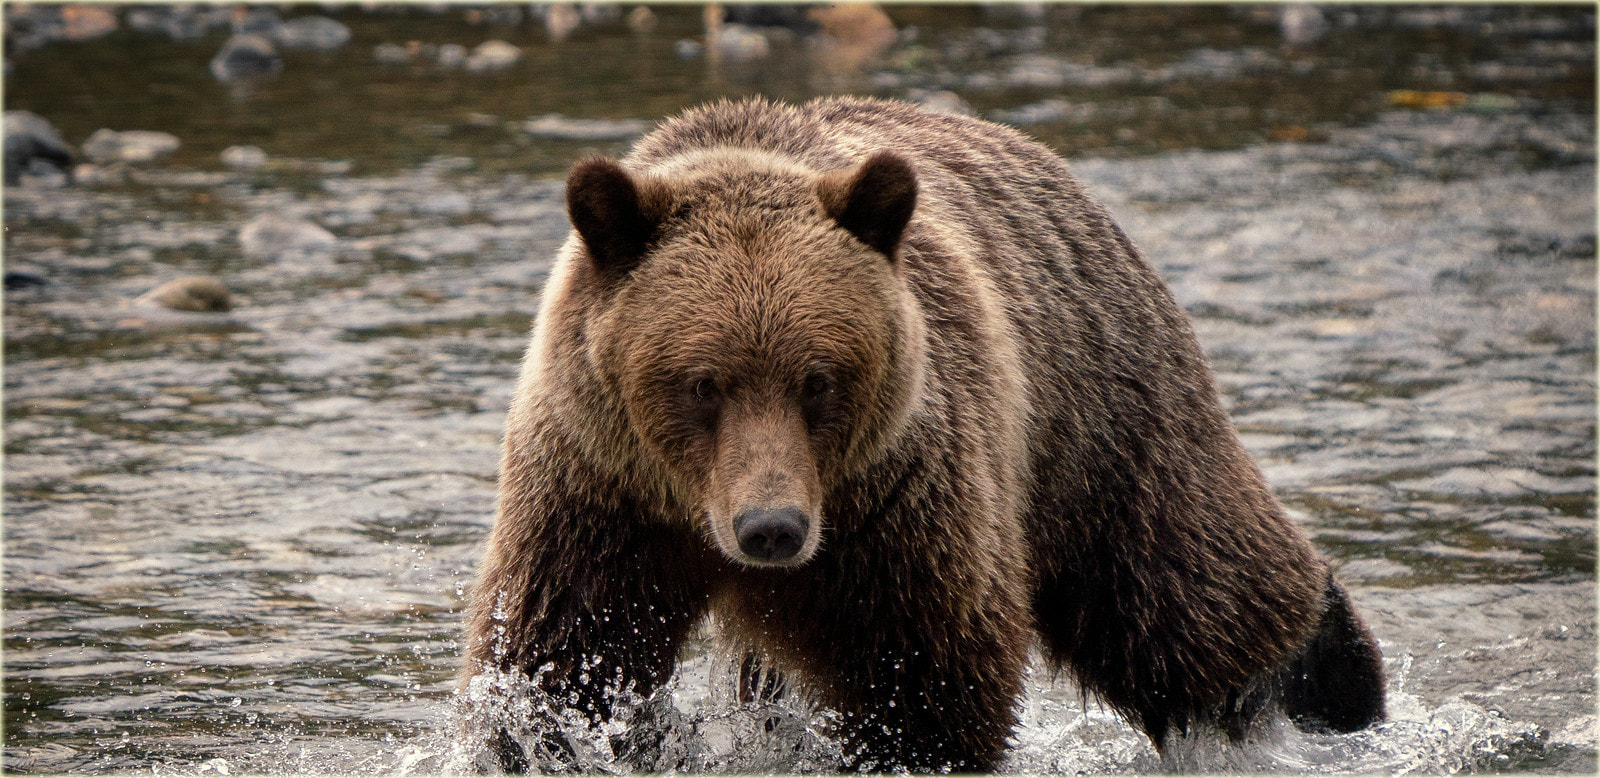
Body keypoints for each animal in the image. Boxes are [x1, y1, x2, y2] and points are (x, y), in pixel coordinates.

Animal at [459, 96, 1385, 773]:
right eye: (701, 383)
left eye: (818, 379)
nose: (771, 529)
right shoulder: (599, 491)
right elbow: (562, 664)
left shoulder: (899, 507)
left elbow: (924, 683)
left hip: (1102, 416)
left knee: (1183, 591)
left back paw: (1340, 685)